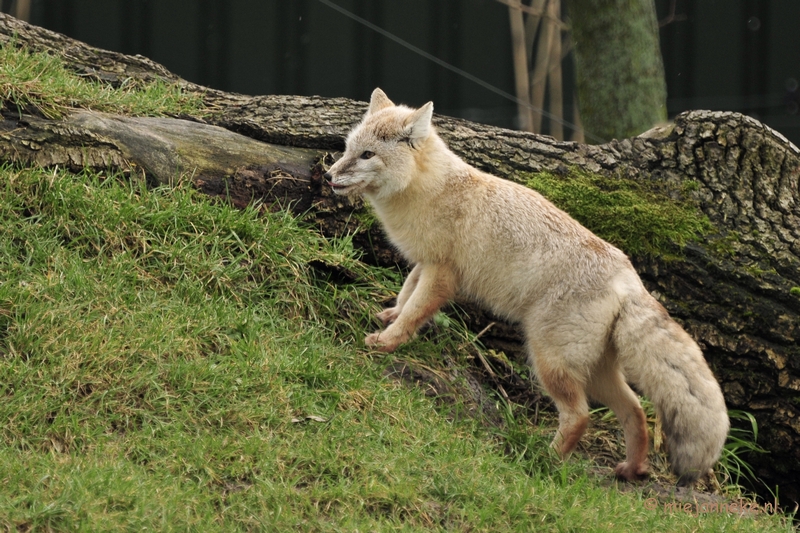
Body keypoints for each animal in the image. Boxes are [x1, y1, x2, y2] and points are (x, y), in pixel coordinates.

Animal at [324, 88, 732, 486]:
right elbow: (406, 294)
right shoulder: (426, 263)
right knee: (635, 412)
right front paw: (388, 315)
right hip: (596, 374)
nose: (328, 176)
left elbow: (414, 312)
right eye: (347, 148)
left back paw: (545, 460)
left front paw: (387, 341)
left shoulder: (442, 273)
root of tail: (630, 278)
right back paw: (631, 469)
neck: (431, 190)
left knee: (580, 416)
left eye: (366, 155)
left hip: (549, 363)